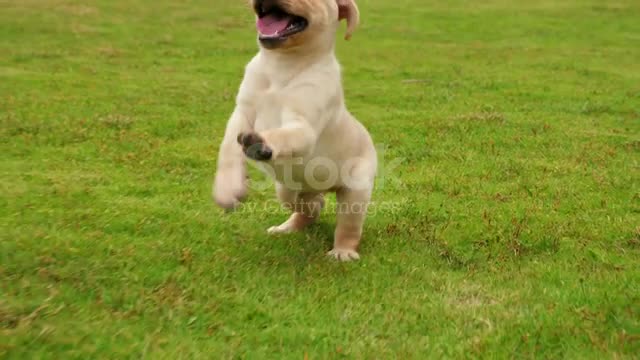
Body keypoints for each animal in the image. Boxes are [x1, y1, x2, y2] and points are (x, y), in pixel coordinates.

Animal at [212, 0, 378, 260]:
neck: (282, 65)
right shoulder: (241, 114)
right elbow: (228, 153)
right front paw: (227, 189)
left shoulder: (303, 126)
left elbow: (285, 134)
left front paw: (261, 144)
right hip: (287, 189)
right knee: (307, 206)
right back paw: (288, 226)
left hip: (356, 190)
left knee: (348, 226)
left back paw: (342, 252)